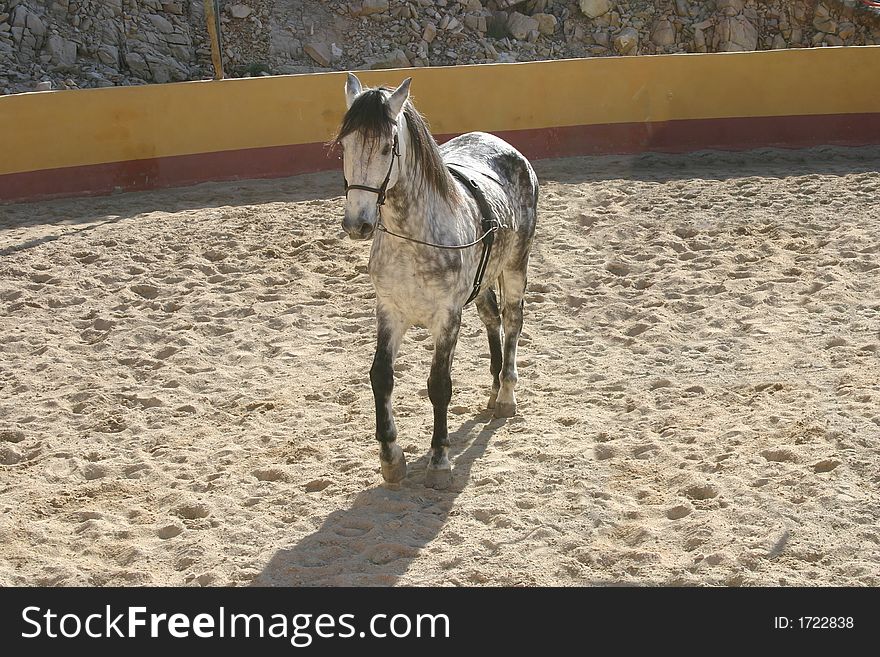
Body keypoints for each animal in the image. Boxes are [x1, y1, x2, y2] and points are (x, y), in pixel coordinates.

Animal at [334, 75, 536, 486]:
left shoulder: (447, 318)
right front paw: (391, 457)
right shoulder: (389, 311)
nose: (357, 224)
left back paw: (506, 396)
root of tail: (509, 150)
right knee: (492, 319)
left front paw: (439, 458)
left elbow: (439, 385)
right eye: (345, 145)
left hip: (515, 266)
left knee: (512, 321)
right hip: (483, 282)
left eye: (386, 147)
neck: (413, 237)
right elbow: (381, 376)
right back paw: (494, 389)